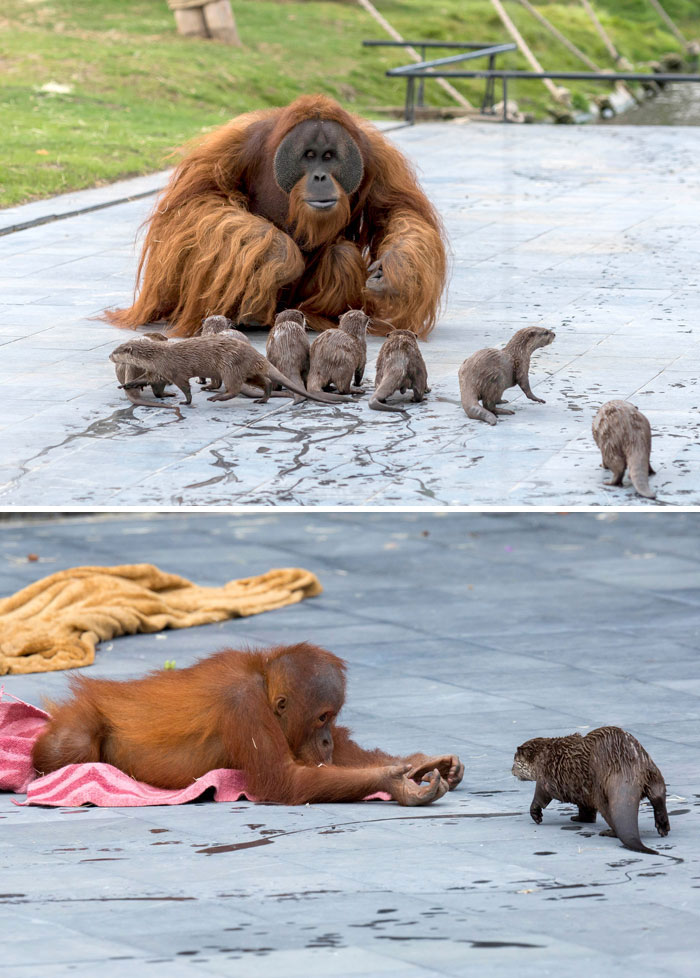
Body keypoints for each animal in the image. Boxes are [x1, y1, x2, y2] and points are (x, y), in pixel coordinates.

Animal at [111, 334, 352, 407]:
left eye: (117, 351)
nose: (109, 355)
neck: (158, 356)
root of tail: (255, 354)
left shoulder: (174, 371)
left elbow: (185, 387)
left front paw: (187, 401)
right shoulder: (158, 371)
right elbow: (144, 378)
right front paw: (127, 384)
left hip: (229, 366)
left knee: (234, 388)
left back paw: (217, 398)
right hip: (248, 371)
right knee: (264, 382)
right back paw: (262, 399)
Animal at [512, 726, 670, 855]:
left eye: (515, 761)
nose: (511, 770)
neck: (542, 756)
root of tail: (626, 768)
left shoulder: (545, 779)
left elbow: (540, 797)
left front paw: (536, 815)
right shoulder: (581, 790)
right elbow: (585, 808)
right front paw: (580, 818)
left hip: (600, 791)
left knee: (610, 814)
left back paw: (608, 832)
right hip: (652, 770)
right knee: (658, 795)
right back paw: (663, 826)